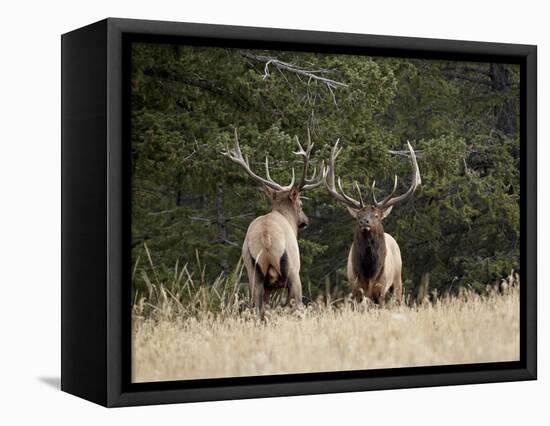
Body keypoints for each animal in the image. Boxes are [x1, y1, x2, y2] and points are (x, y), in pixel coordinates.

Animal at [222, 128, 326, 318]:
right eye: (301, 204)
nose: (305, 221)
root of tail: (266, 237)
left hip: (253, 273)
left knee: (258, 310)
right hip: (292, 272)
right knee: (297, 305)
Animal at [326, 141, 420, 304]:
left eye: (376, 215)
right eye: (358, 215)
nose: (364, 221)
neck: (369, 273)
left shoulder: (380, 289)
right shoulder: (356, 288)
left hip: (397, 282)